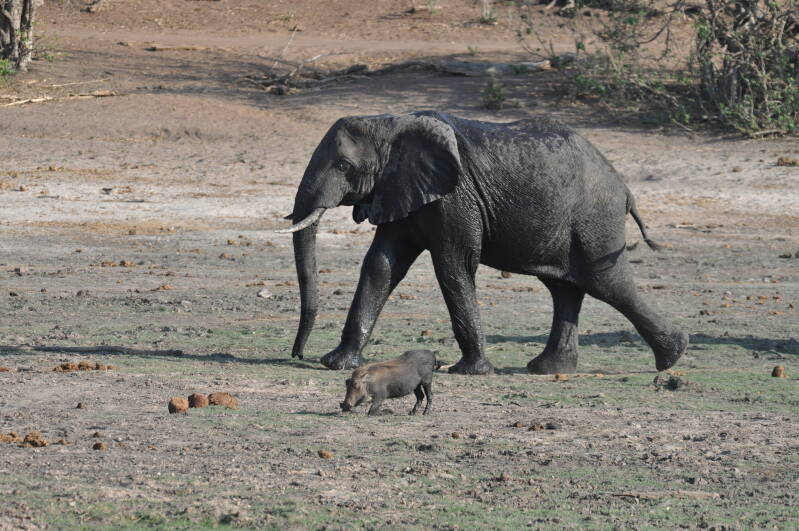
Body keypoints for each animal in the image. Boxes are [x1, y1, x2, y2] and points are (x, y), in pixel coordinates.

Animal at [277, 110, 688, 375]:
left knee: (607, 283)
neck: (389, 123)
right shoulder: (401, 191)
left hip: (594, 221)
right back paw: (547, 369)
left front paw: (470, 371)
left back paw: (672, 356)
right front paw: (335, 363)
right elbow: (381, 265)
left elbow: (454, 265)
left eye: (343, 166)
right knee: (565, 288)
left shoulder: (455, 198)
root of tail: (624, 186)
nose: (297, 355)